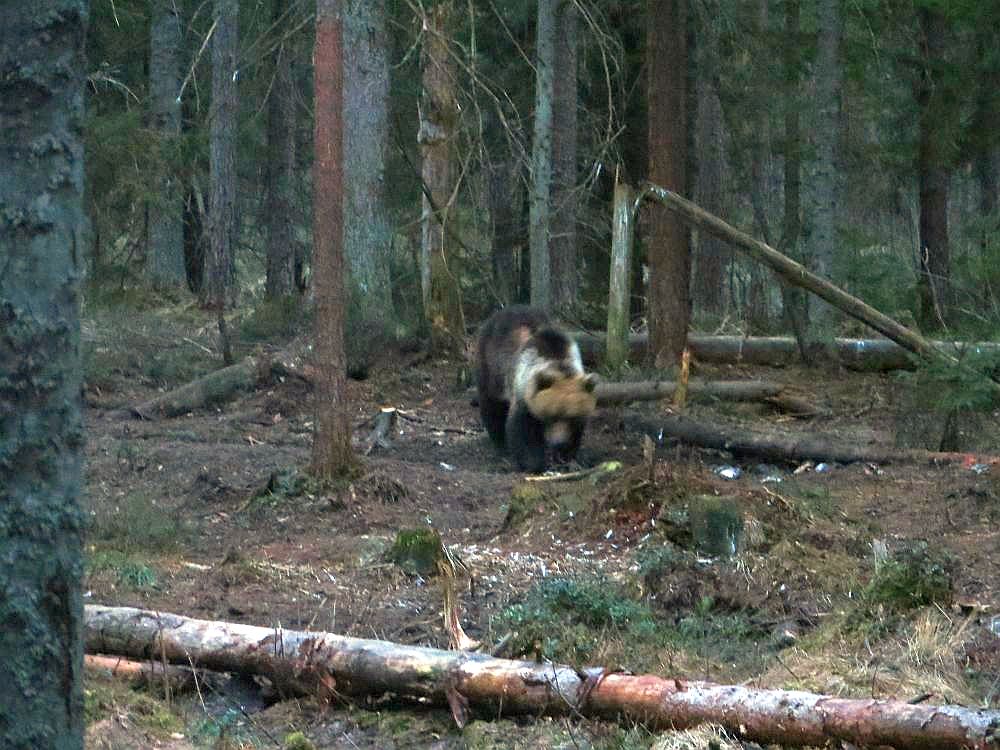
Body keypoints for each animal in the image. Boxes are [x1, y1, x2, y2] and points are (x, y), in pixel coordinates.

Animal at [476, 305, 597, 472]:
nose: (558, 443)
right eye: (553, 415)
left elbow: (576, 432)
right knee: (492, 405)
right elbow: (521, 429)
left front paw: (566, 457)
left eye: (571, 417)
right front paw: (534, 462)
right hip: (491, 367)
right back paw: (500, 445)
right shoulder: (524, 392)